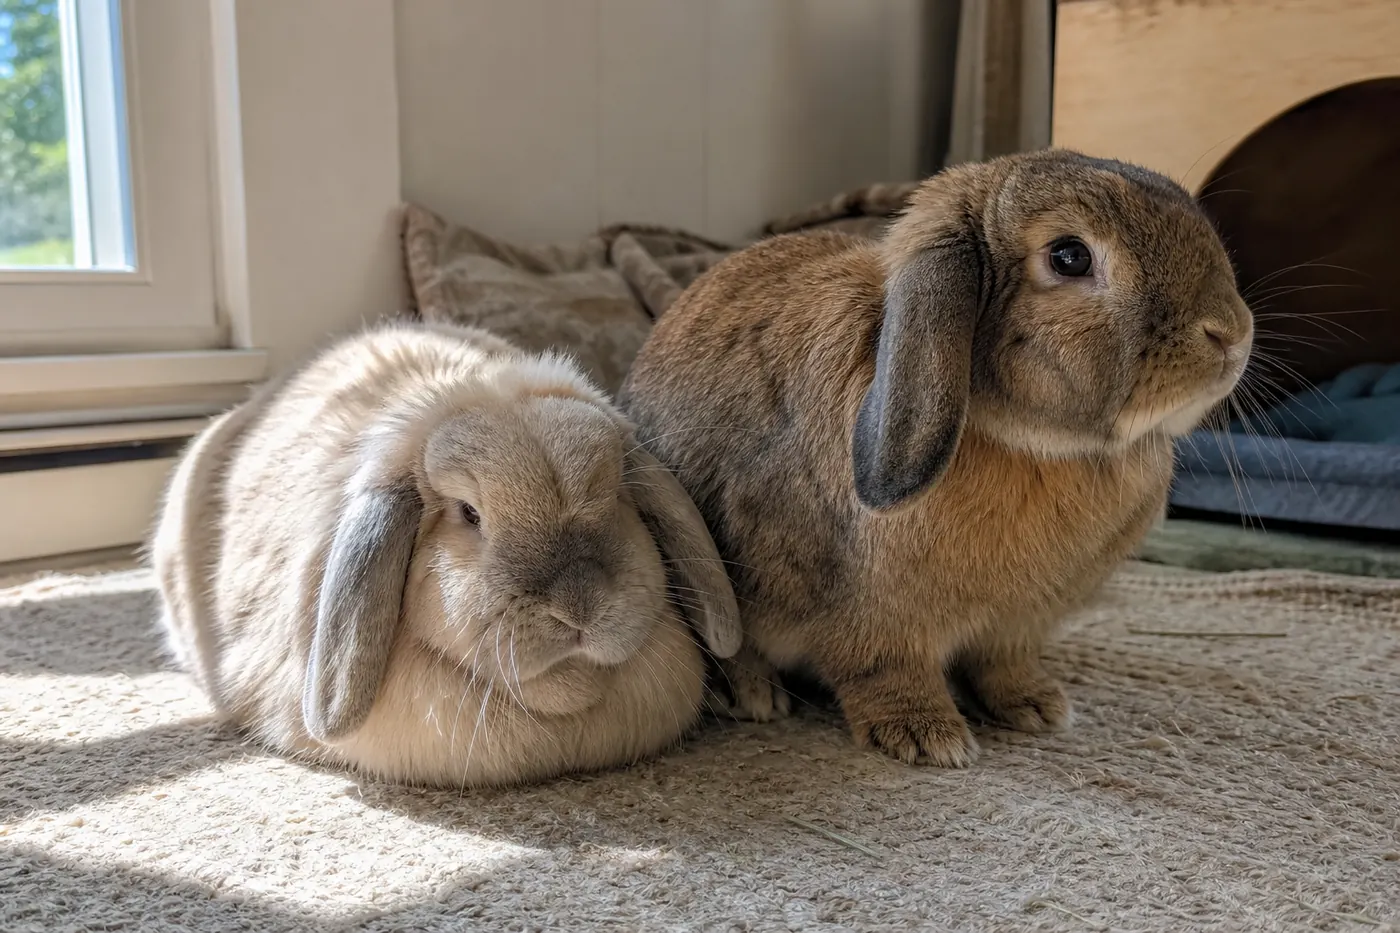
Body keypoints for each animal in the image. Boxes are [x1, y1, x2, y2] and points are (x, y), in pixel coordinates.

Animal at [619, 149, 1254, 767]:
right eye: (1070, 257)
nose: (1232, 332)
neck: (1030, 444)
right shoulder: (874, 623)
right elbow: (885, 671)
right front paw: (926, 737)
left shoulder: (1017, 628)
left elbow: (1003, 664)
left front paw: (1037, 707)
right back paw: (753, 696)